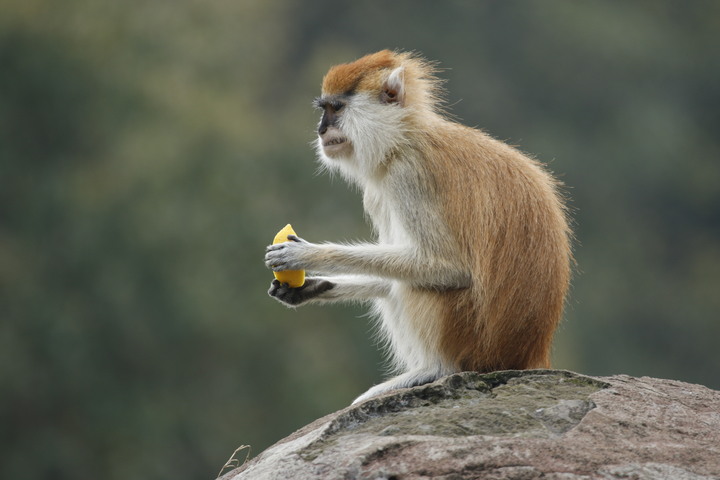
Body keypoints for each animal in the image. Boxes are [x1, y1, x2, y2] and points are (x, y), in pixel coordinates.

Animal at [264, 49, 572, 404]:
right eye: (324, 109)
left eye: (336, 108)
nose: (320, 130)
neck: (403, 137)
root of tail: (525, 354)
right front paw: (310, 286)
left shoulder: (407, 174)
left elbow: (448, 268)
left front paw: (309, 255)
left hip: (468, 336)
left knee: (417, 284)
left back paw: (434, 370)